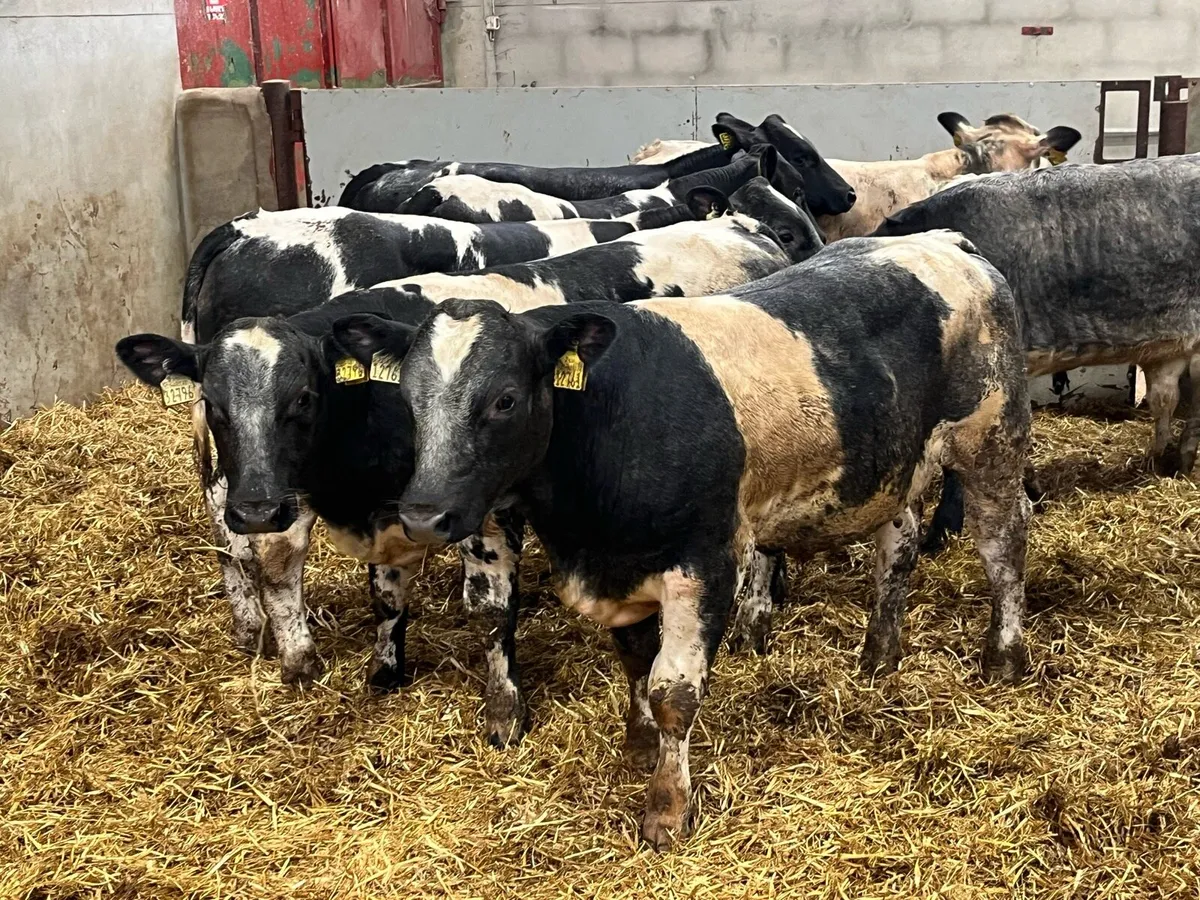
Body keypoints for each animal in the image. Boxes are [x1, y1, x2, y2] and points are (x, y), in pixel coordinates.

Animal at [338, 229, 1031, 849]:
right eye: (408, 401)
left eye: (505, 399)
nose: (424, 515)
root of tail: (944, 242)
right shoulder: (622, 563)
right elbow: (636, 664)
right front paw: (640, 745)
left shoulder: (705, 563)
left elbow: (673, 690)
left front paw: (667, 810)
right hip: (894, 466)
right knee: (899, 547)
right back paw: (879, 655)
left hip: (992, 439)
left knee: (1004, 544)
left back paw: (1005, 659)